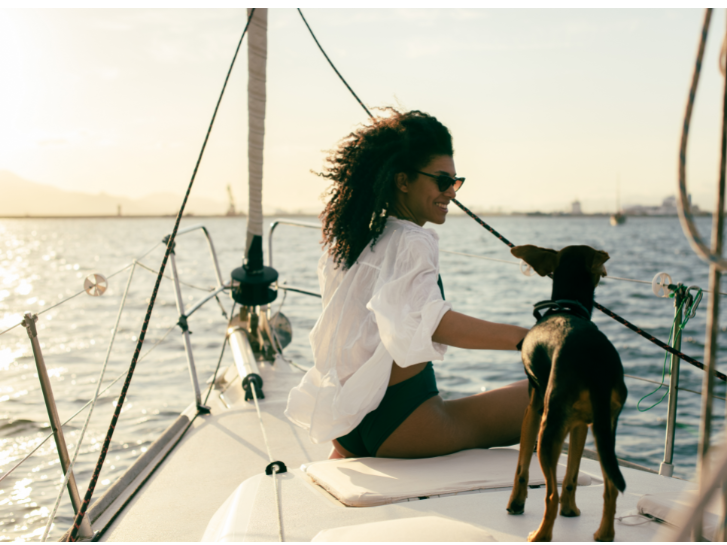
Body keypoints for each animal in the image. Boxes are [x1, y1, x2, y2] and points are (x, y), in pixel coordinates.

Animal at [506, 245, 632, 540]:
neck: (568, 307)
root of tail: (595, 361)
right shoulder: (581, 425)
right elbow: (572, 475)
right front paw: (571, 510)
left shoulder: (533, 409)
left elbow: (521, 466)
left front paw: (515, 503)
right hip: (604, 431)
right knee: (611, 489)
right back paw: (604, 534)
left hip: (548, 427)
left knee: (550, 495)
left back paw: (540, 535)